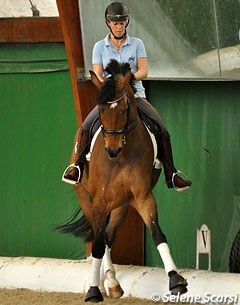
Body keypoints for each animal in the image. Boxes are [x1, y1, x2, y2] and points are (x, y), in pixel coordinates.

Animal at [59, 60, 188, 302]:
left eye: (124, 109)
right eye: (100, 110)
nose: (112, 149)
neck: (121, 157)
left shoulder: (142, 197)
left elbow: (157, 233)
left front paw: (176, 280)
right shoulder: (99, 202)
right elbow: (97, 245)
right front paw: (92, 291)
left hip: (121, 205)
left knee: (108, 235)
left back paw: (110, 282)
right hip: (87, 199)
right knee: (101, 237)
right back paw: (104, 282)